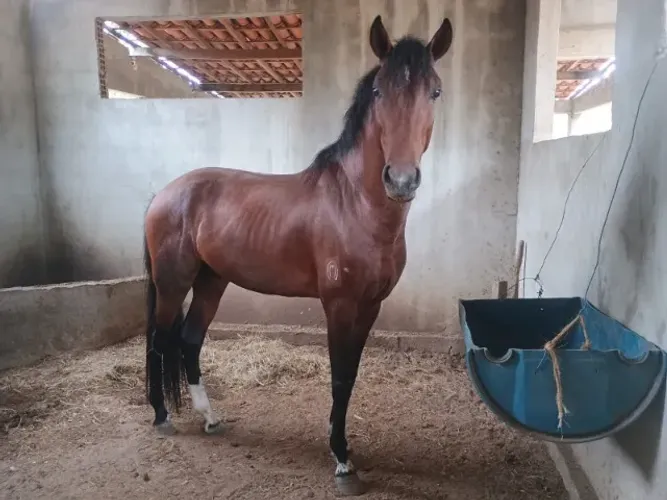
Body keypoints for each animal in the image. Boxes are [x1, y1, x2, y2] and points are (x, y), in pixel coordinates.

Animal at [143, 15, 453, 496]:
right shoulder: (339, 305)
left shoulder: (371, 306)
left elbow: (351, 374)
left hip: (212, 281)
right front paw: (343, 461)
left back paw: (210, 419)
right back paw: (161, 417)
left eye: (434, 91)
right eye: (379, 90)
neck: (354, 204)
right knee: (160, 342)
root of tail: (164, 195)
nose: (401, 180)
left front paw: (342, 446)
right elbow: (339, 375)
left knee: (190, 340)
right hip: (173, 283)